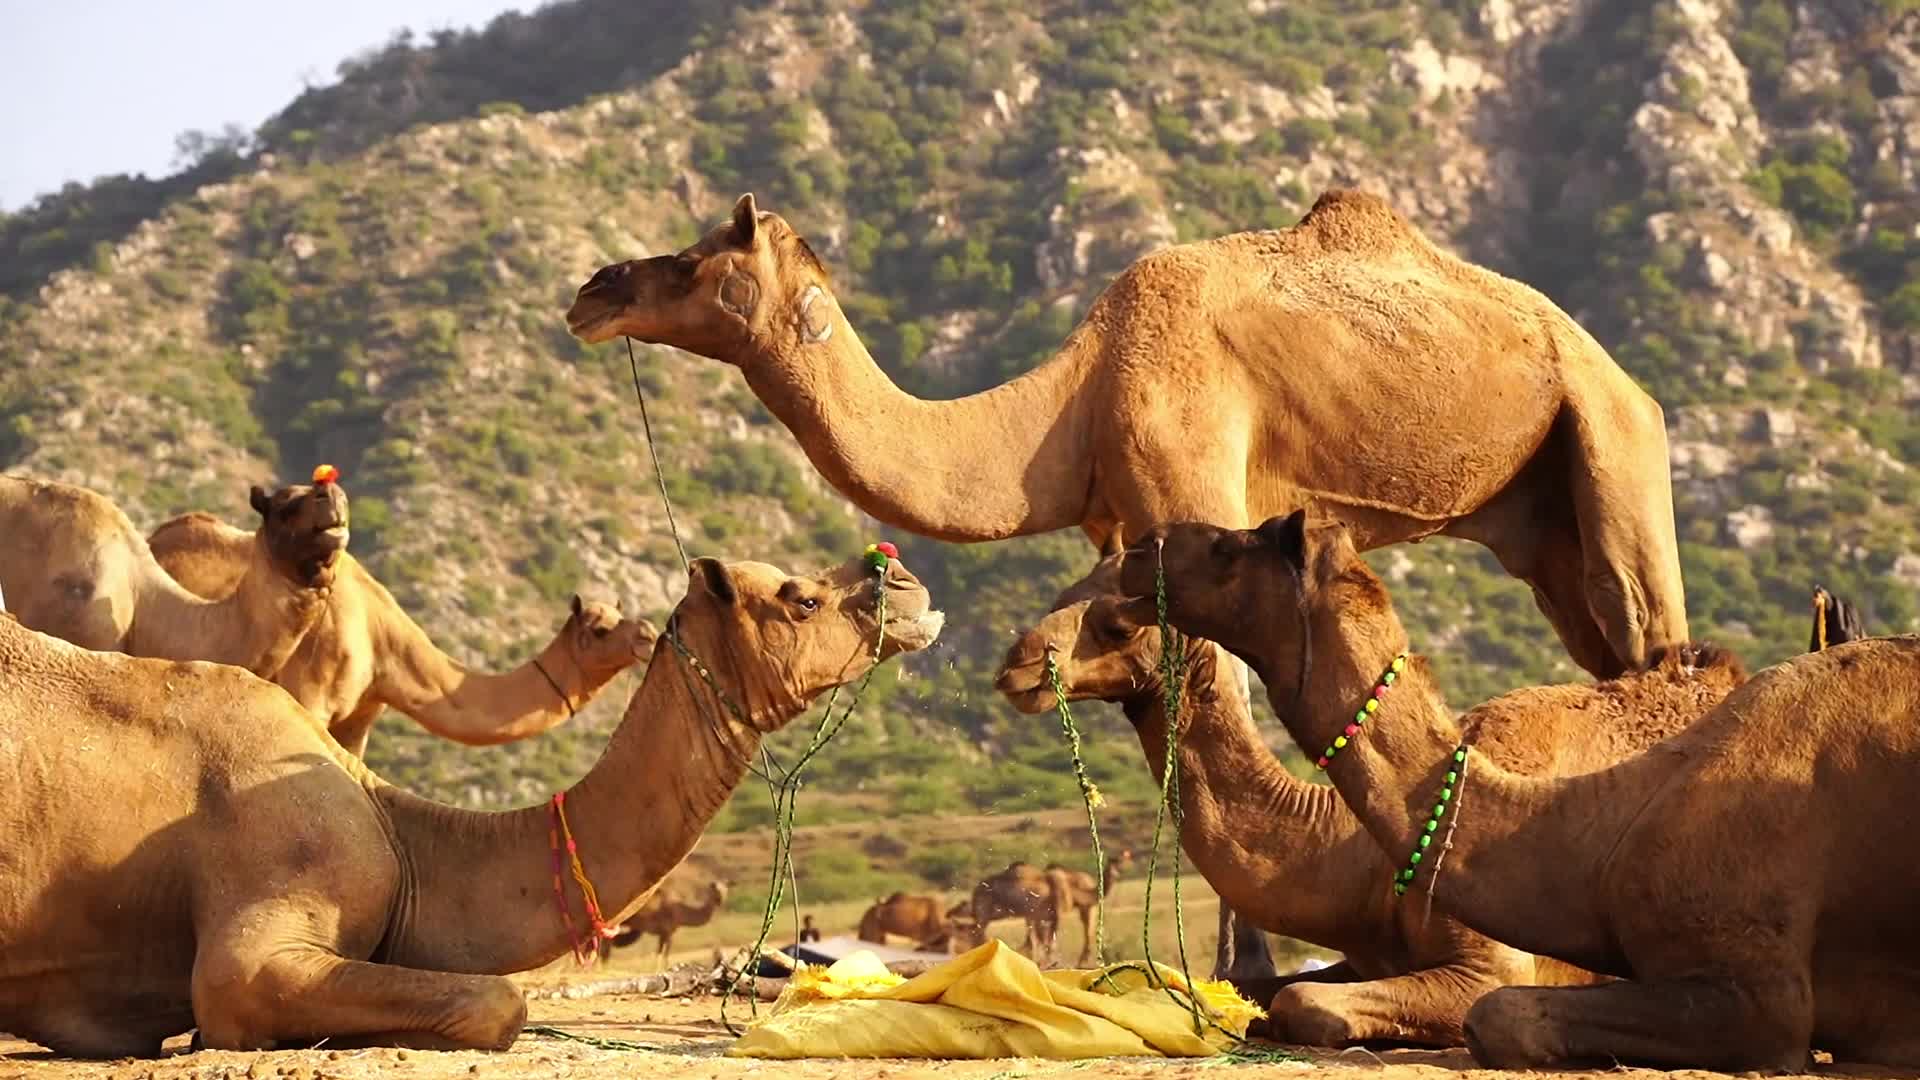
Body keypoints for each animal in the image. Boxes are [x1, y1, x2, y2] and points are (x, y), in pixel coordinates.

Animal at [147, 487, 655, 757]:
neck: (380, 640)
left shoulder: (360, 717)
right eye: (599, 629)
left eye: (620, 613)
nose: (648, 635)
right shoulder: (310, 695)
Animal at [997, 545, 1757, 1045]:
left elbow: (1306, 1002)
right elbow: (1260, 991)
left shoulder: (1490, 965)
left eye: (1119, 621)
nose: (1016, 663)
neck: (1353, 846)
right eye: (1062, 589)